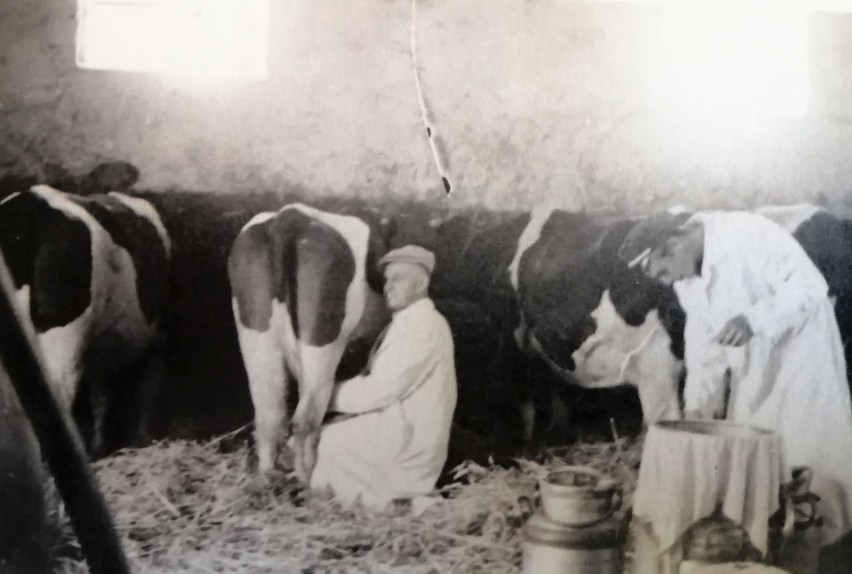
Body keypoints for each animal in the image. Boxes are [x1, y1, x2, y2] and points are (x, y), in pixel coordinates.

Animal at [230, 202, 396, 486]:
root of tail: (289, 219)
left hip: (254, 333)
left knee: (268, 412)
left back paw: (268, 477)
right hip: (322, 339)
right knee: (305, 418)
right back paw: (307, 479)